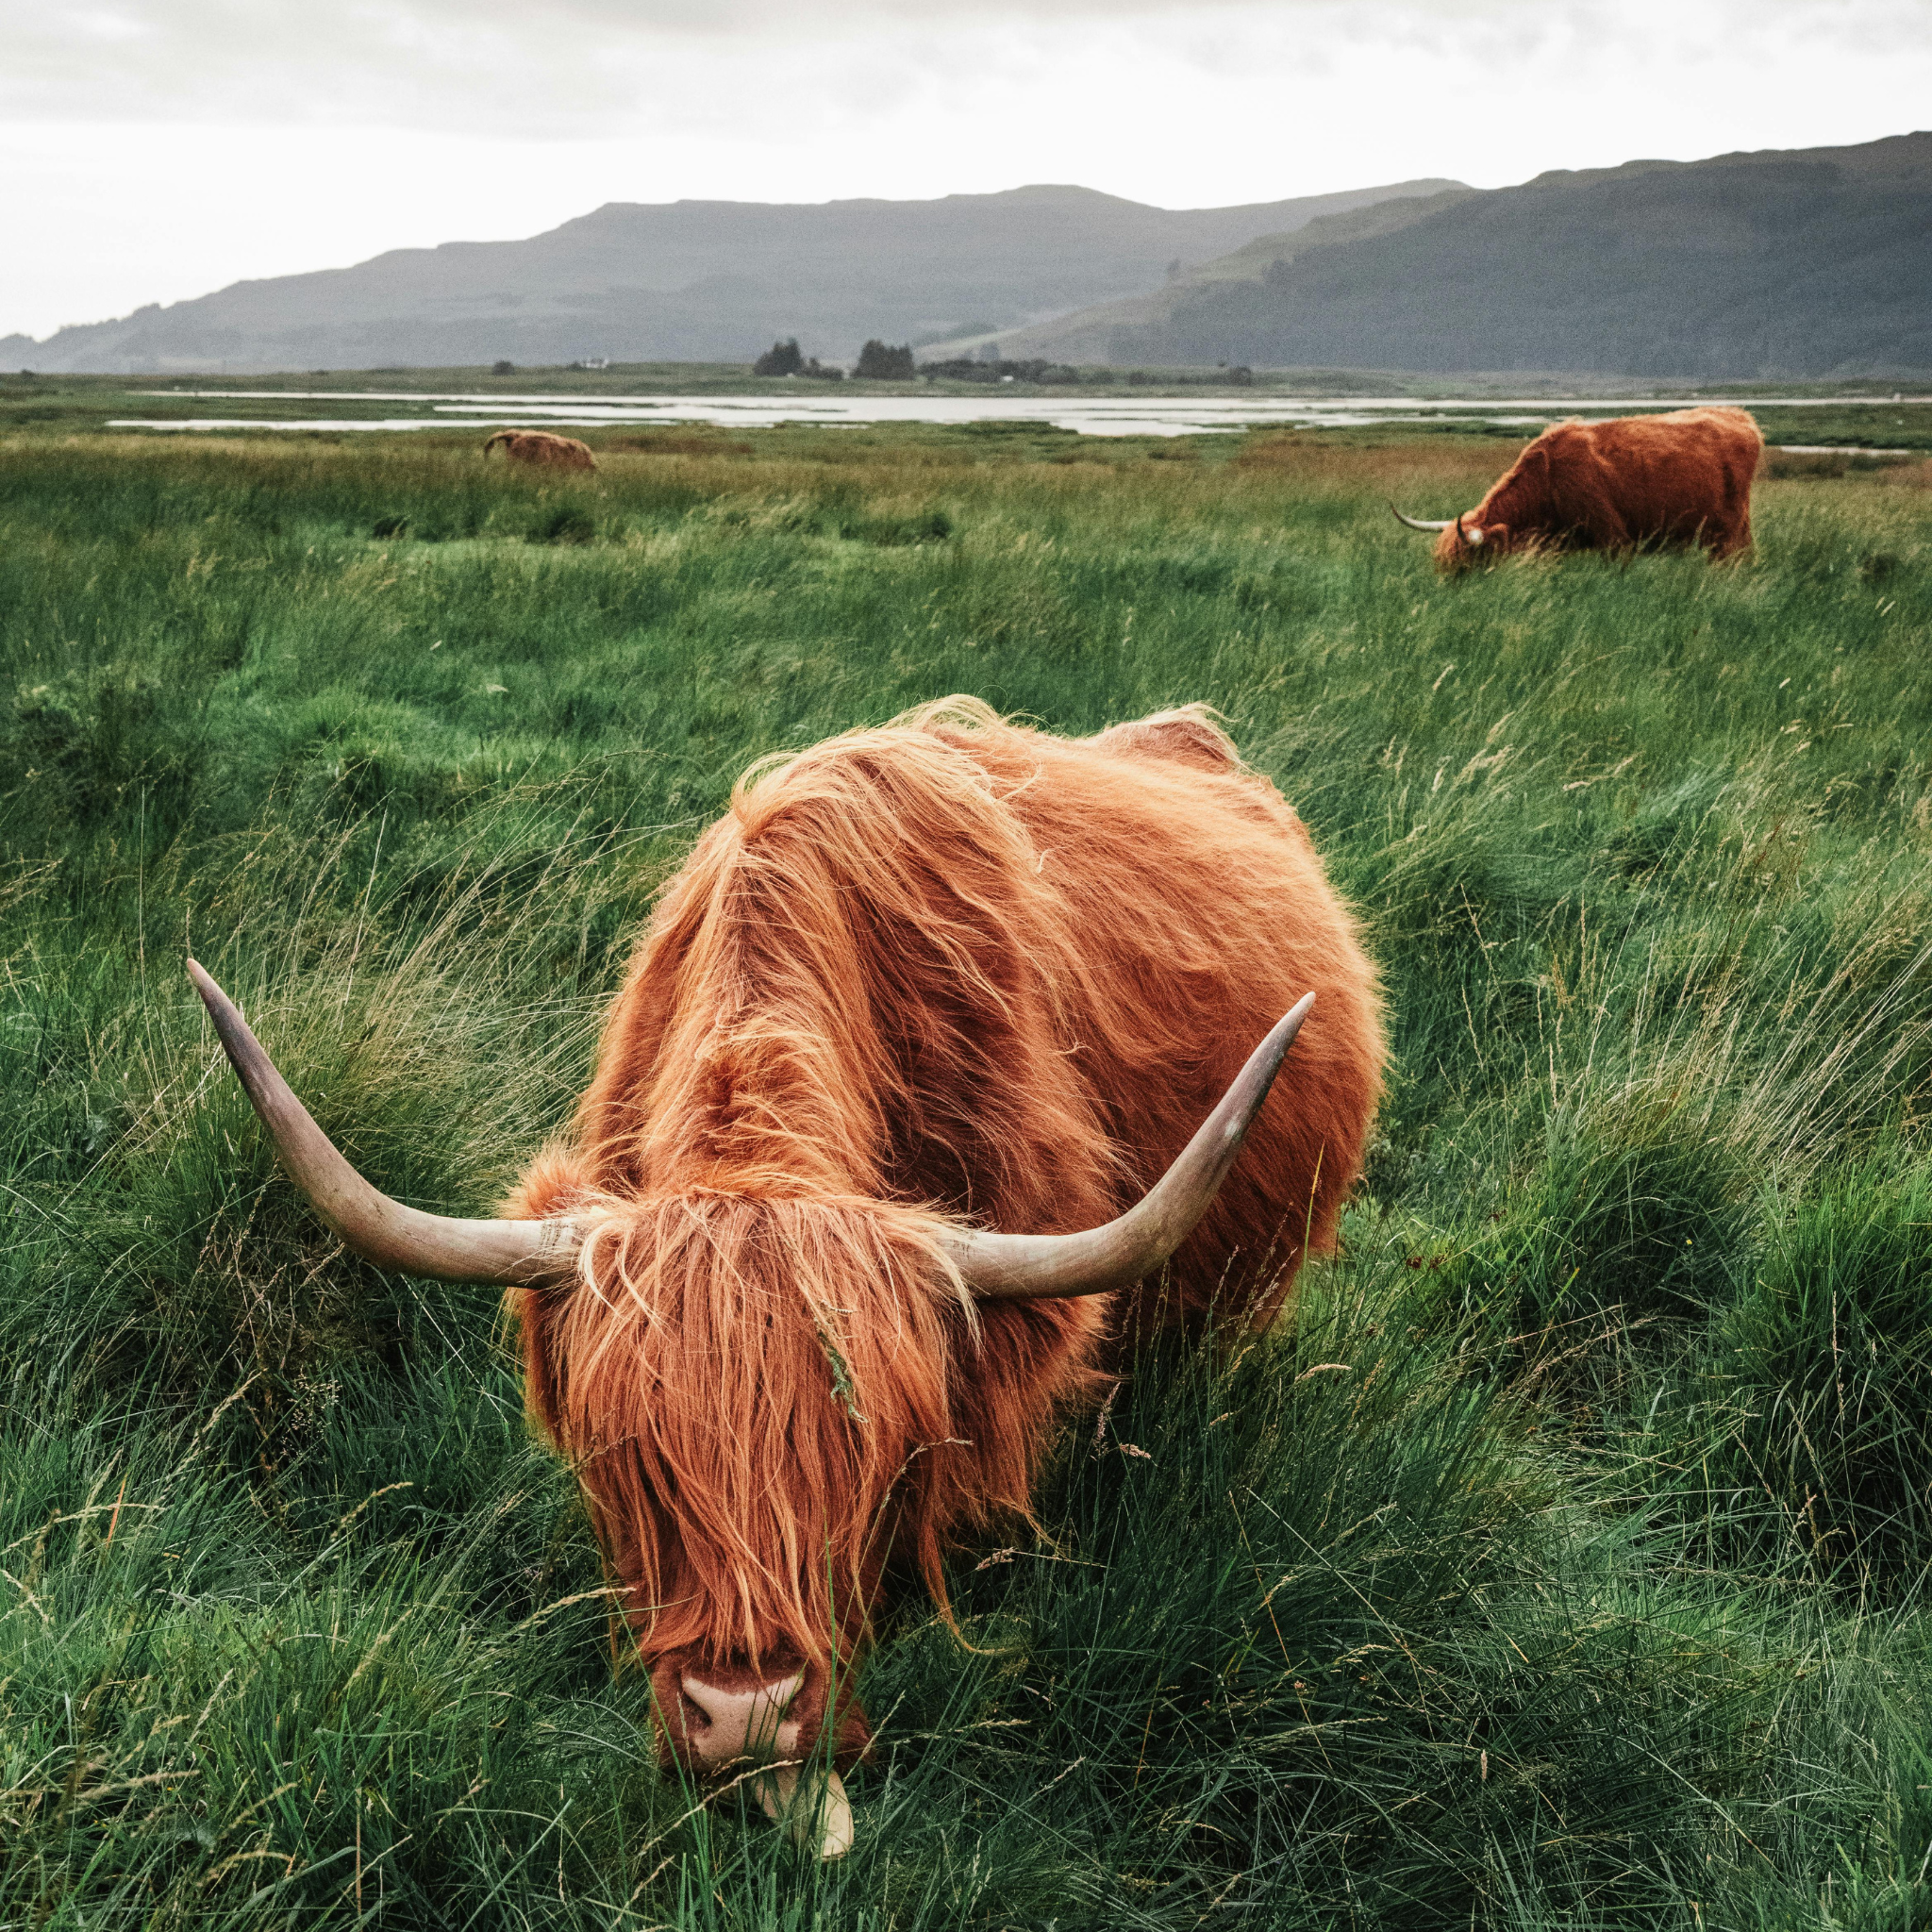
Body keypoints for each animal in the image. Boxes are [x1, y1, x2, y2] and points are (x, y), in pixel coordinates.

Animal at [1391, 406, 1762, 570]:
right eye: (1441, 563)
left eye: (1464, 565)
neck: (1547, 482)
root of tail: (1740, 415)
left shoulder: (1614, 537)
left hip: (1729, 529)